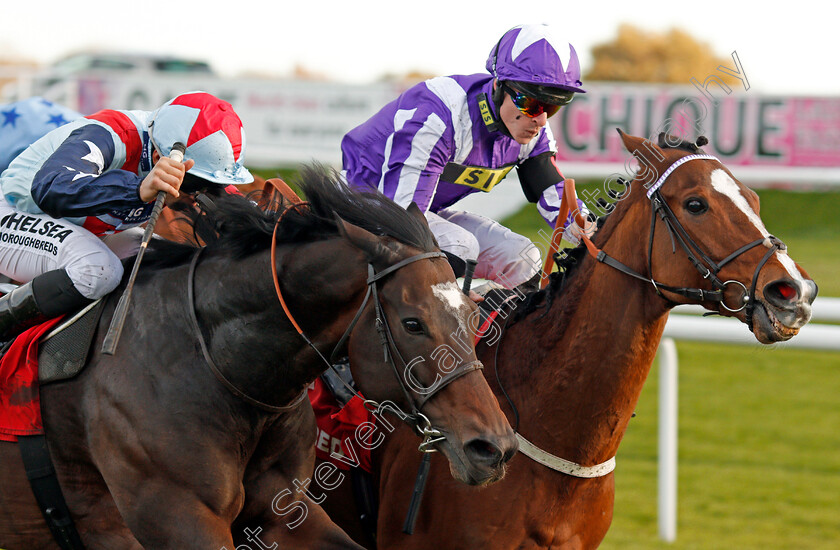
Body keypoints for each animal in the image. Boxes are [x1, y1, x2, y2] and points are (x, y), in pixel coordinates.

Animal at [0, 168, 516, 550]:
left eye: (473, 314)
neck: (213, 364)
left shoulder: (283, 510)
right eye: (412, 323)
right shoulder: (177, 516)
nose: (494, 448)